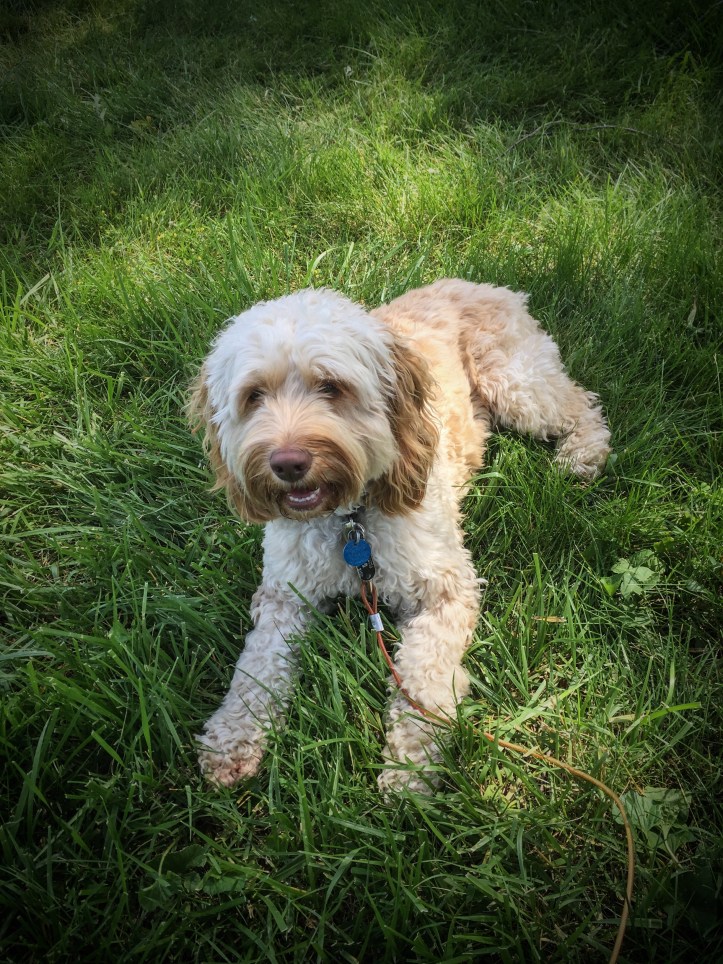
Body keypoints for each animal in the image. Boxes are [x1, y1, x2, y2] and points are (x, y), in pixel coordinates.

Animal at [188, 279, 610, 792]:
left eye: (331, 386)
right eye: (254, 396)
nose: (287, 463)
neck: (349, 521)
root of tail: (483, 284)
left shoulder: (446, 589)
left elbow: (425, 677)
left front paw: (410, 765)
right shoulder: (285, 597)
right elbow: (257, 669)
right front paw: (232, 737)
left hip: (517, 385)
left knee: (580, 403)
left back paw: (583, 454)